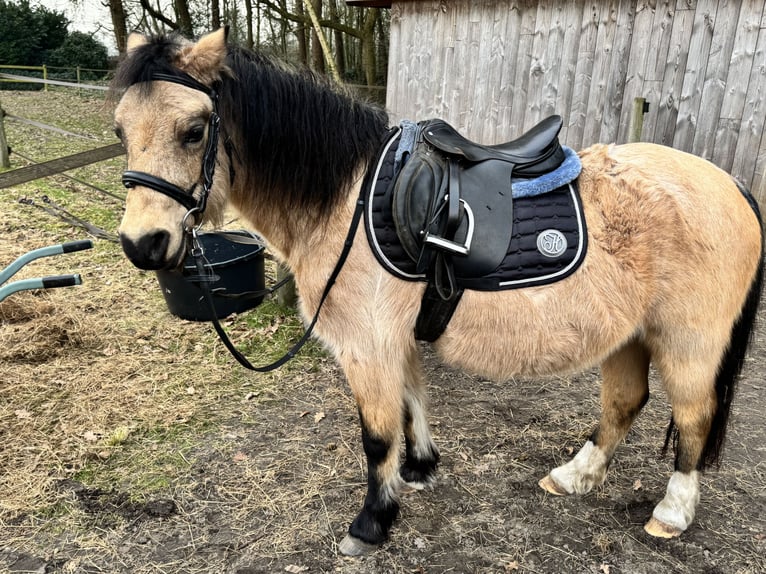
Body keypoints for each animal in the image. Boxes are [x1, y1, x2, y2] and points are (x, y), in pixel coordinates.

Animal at [111, 29, 764, 556]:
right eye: (120, 131)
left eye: (194, 130)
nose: (144, 243)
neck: (346, 200)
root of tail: (730, 183)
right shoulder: (393, 339)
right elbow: (412, 402)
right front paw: (420, 469)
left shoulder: (367, 346)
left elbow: (377, 435)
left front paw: (373, 522)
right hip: (630, 335)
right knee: (625, 404)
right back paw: (575, 476)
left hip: (687, 344)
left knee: (694, 417)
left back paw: (672, 512)